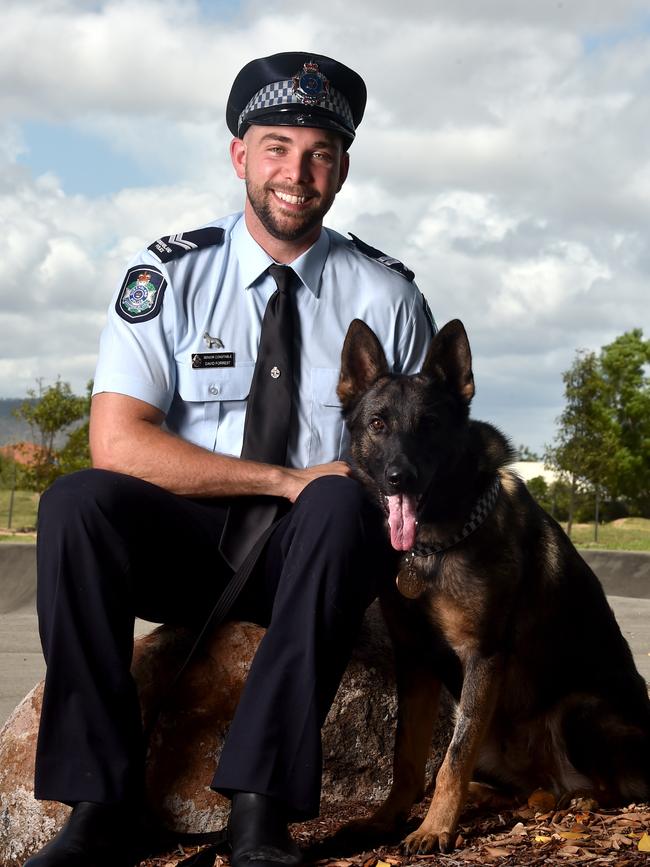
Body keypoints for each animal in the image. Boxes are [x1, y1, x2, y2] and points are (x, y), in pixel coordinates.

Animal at [334, 318, 648, 856]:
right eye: (377, 424)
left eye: (429, 425)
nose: (399, 478)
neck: (436, 545)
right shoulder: (415, 662)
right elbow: (407, 758)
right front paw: (387, 818)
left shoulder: (482, 657)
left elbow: (452, 759)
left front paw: (434, 829)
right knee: (525, 787)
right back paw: (501, 798)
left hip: (580, 710)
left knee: (602, 788)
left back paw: (575, 801)